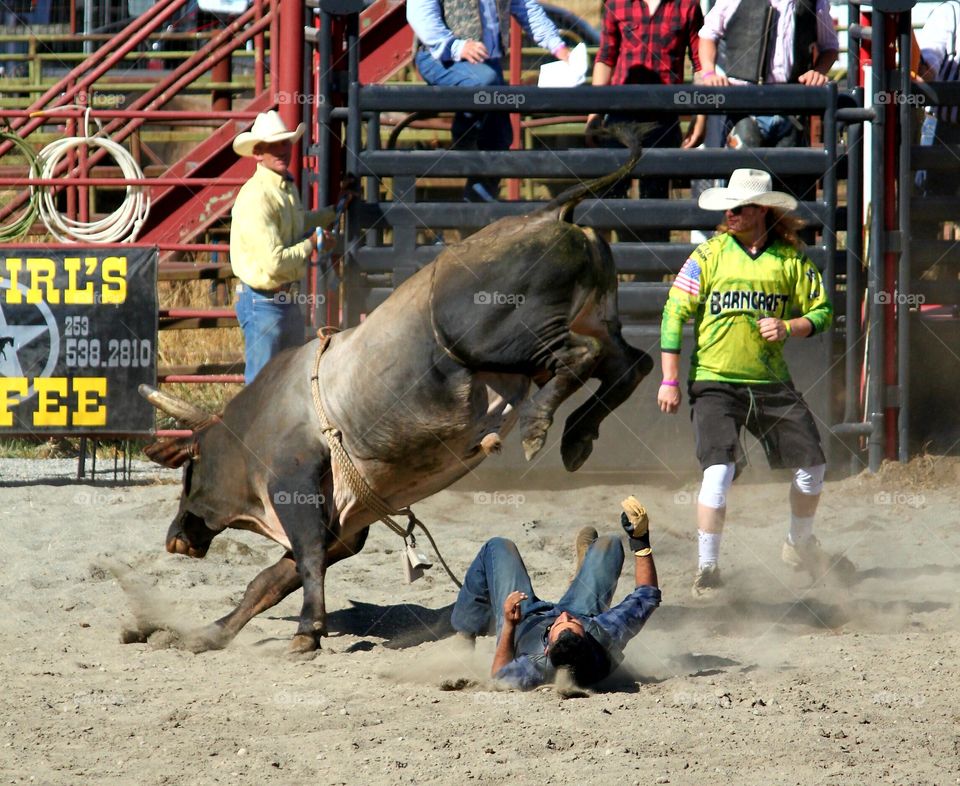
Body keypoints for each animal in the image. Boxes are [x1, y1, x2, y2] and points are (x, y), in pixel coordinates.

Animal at [137, 142, 653, 654]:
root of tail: (549, 214)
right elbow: (269, 580)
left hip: (501, 339)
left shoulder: (295, 484)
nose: (174, 538)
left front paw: (308, 631)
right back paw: (577, 436)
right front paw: (211, 633)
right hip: (594, 318)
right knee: (633, 364)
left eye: (188, 471)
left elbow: (305, 559)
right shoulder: (344, 524)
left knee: (582, 356)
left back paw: (539, 426)